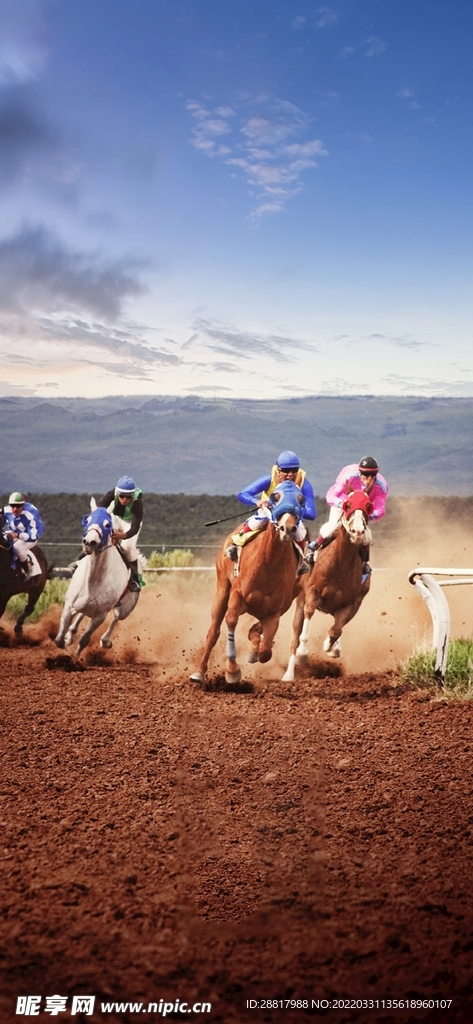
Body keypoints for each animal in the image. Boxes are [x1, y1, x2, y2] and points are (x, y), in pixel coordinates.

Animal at [54, 497, 141, 655]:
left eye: (107, 524)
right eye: (88, 519)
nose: (90, 542)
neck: (94, 579)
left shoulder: (100, 615)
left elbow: (84, 639)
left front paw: (75, 657)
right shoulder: (69, 605)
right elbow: (59, 639)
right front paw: (66, 639)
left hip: (126, 609)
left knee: (116, 619)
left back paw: (105, 641)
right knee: (81, 614)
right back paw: (71, 633)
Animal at [190, 481, 305, 688]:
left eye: (301, 499)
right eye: (275, 497)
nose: (288, 528)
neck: (269, 563)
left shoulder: (274, 611)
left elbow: (266, 651)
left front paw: (254, 651)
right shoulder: (237, 596)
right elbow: (231, 621)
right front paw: (232, 671)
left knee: (257, 632)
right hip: (222, 589)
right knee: (213, 632)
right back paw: (199, 673)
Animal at [280, 487, 372, 679]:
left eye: (368, 505)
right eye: (347, 505)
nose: (358, 532)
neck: (340, 564)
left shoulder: (350, 604)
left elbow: (336, 630)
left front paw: (331, 647)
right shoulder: (312, 592)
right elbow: (308, 617)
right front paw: (303, 653)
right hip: (300, 602)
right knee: (294, 638)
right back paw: (289, 674)